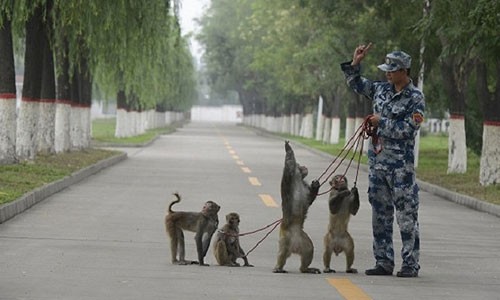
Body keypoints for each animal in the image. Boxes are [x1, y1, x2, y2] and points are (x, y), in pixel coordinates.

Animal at [274, 141, 320, 274]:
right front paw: (288, 148)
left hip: (301, 240)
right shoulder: (290, 172)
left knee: (309, 249)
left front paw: (316, 186)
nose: (304, 166)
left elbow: (308, 200)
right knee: (282, 253)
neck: (299, 178)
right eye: (299, 165)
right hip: (285, 237)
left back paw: (305, 269)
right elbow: (289, 161)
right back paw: (278, 267)